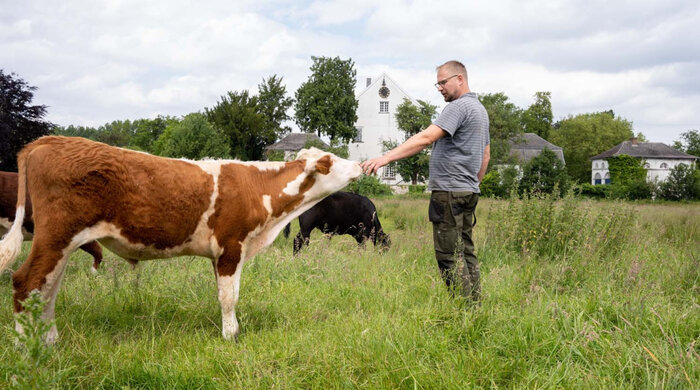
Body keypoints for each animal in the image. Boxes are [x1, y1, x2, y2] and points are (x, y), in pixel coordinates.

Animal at [0, 136, 360, 342]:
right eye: (330, 161)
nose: (358, 164)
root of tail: (51, 140)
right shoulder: (231, 246)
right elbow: (228, 297)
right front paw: (230, 337)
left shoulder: (225, 252)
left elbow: (228, 293)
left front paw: (232, 331)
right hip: (56, 236)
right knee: (26, 282)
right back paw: (28, 348)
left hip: (63, 242)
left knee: (47, 289)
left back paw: (49, 340)